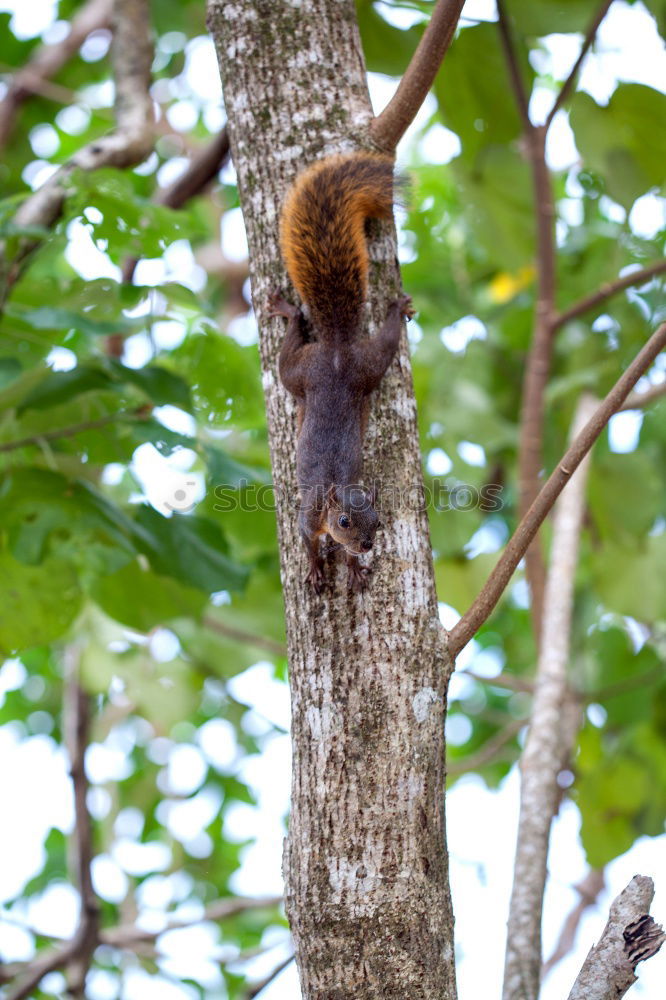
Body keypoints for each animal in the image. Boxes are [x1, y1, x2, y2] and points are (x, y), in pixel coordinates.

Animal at [268, 153, 412, 592]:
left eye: (379, 523)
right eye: (344, 520)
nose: (367, 545)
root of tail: (336, 349)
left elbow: (343, 557)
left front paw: (352, 568)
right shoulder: (308, 518)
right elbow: (309, 544)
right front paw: (317, 570)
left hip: (366, 366)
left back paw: (395, 310)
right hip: (307, 370)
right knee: (290, 348)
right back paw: (287, 310)